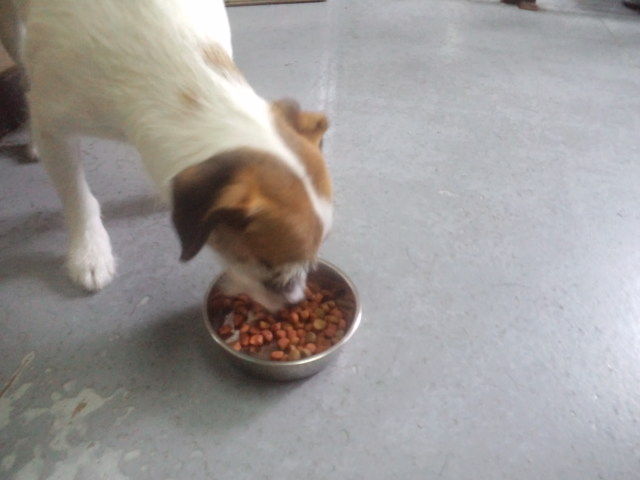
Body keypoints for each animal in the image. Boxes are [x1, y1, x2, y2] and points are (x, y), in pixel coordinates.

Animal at [0, 0, 333, 310]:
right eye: (265, 262)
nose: (295, 302)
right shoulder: (54, 126)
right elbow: (76, 197)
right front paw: (90, 250)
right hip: (13, 30)